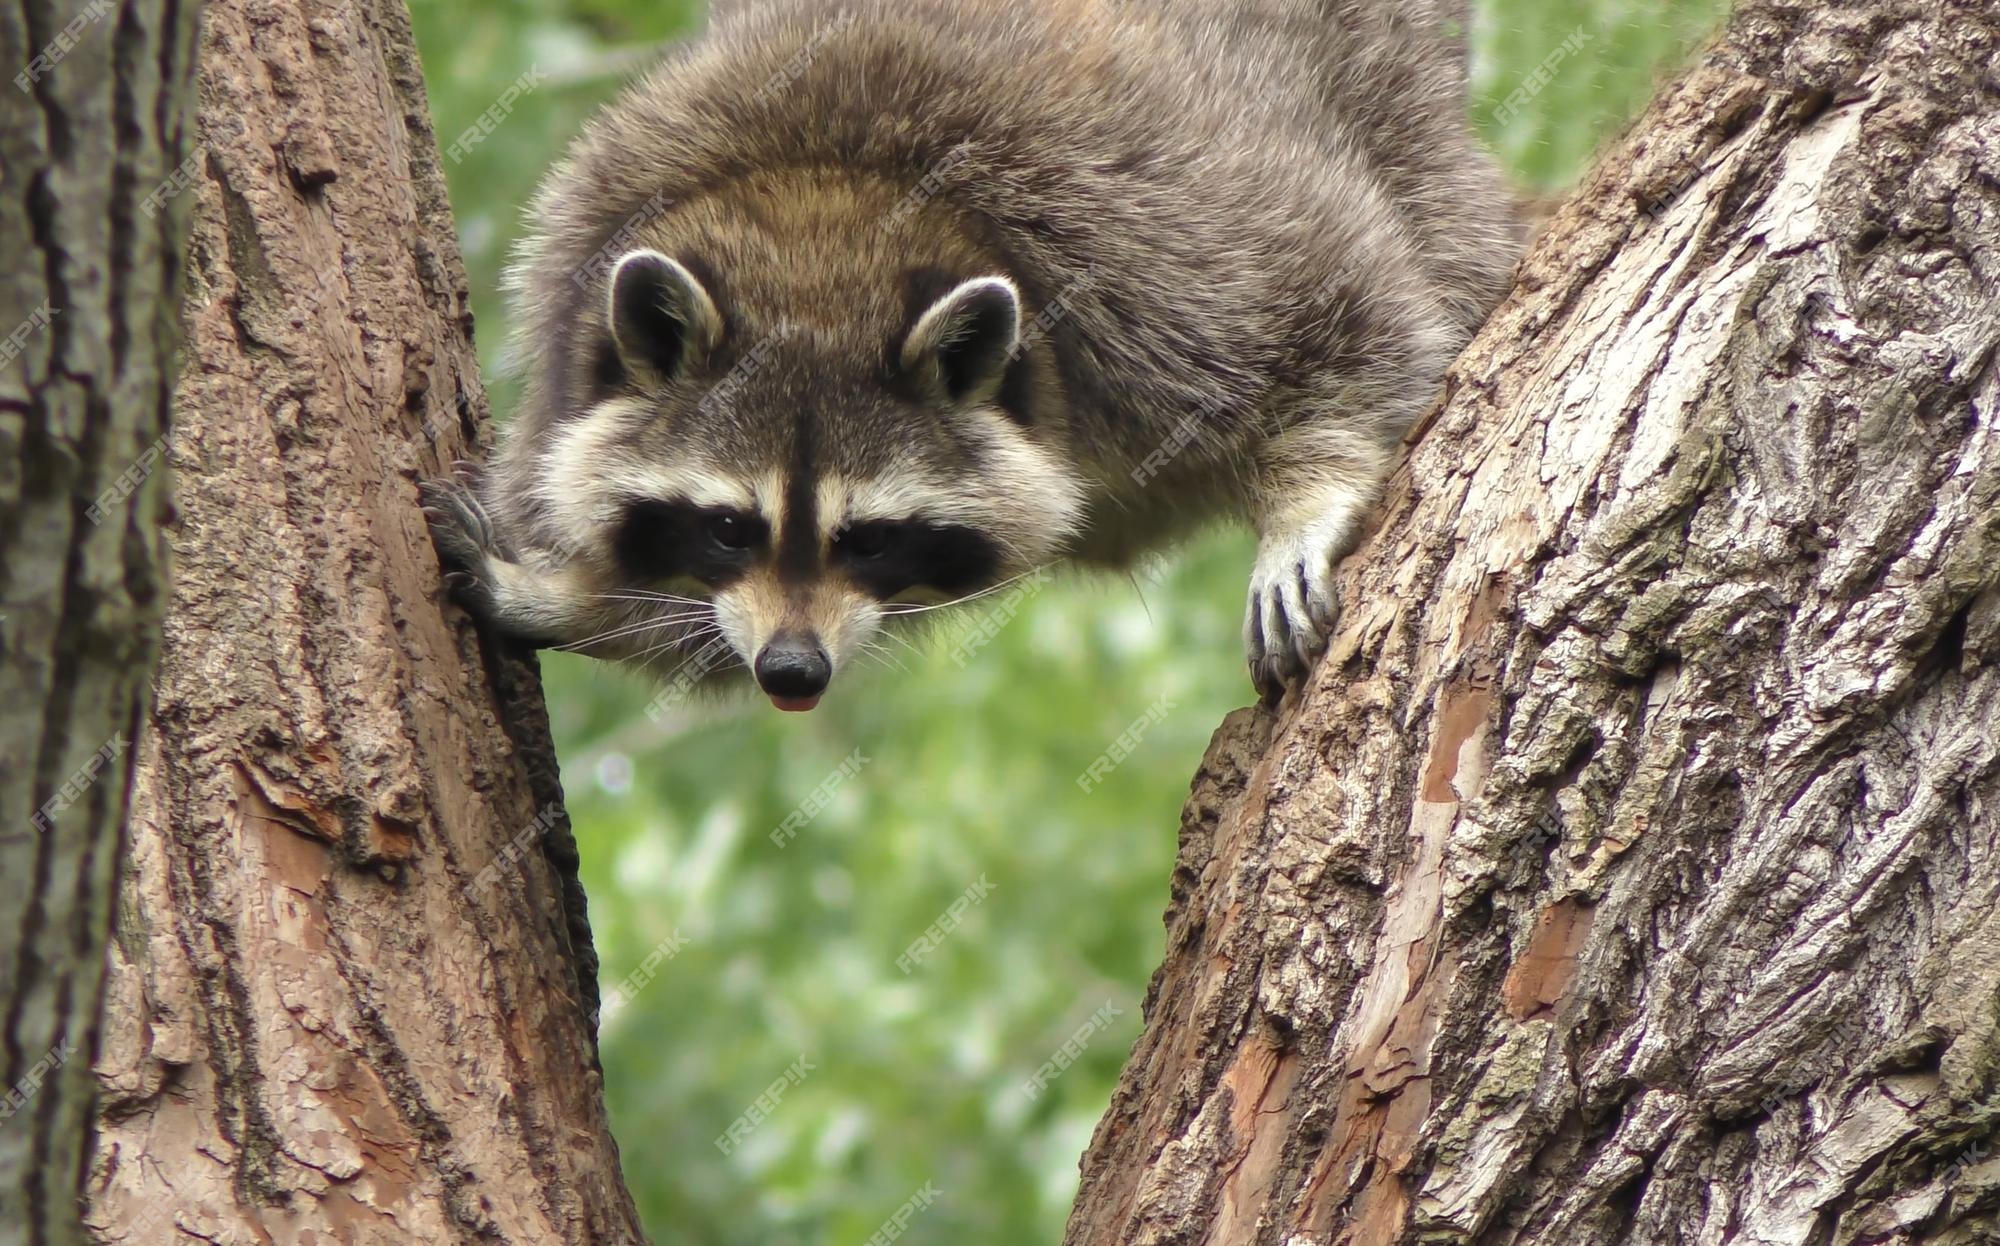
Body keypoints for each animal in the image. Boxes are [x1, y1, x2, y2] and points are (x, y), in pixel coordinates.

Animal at [422, 0, 1512, 712]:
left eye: (868, 537)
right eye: (729, 527)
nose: (792, 672)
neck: (825, 212)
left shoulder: (1147, 241)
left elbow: (1340, 301)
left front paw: (1307, 502)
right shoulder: (571, 298)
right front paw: (571, 599)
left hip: (1375, 65)